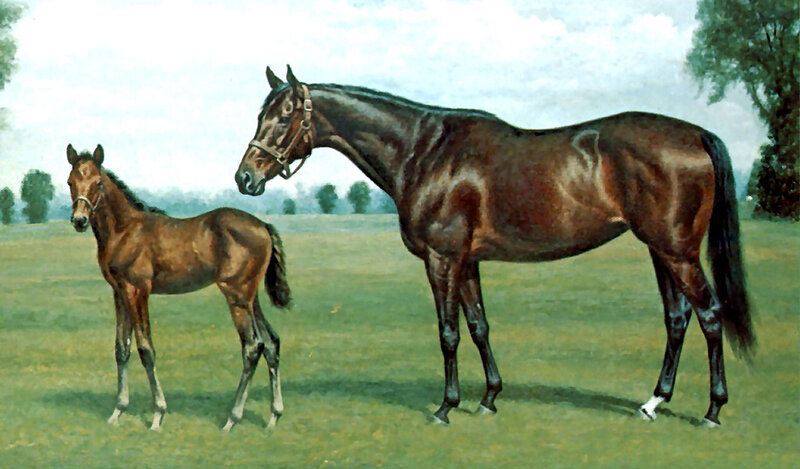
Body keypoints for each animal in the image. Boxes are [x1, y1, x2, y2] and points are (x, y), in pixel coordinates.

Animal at [67, 144, 291, 431]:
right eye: (70, 182)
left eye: (98, 183)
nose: (79, 220)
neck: (125, 230)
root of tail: (263, 226)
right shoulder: (119, 292)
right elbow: (121, 348)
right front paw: (118, 411)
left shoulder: (137, 291)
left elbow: (146, 349)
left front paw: (158, 414)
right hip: (251, 298)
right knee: (271, 343)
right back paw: (274, 416)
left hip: (236, 296)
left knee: (253, 347)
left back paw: (232, 419)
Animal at [233, 66, 755, 427]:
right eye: (259, 115)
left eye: (284, 116)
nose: (245, 177)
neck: (425, 151)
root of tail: (695, 134)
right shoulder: (467, 262)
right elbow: (479, 327)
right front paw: (488, 399)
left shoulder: (442, 260)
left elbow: (448, 333)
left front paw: (446, 407)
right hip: (661, 250)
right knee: (677, 318)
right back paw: (654, 402)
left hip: (677, 252)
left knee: (709, 316)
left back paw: (713, 410)